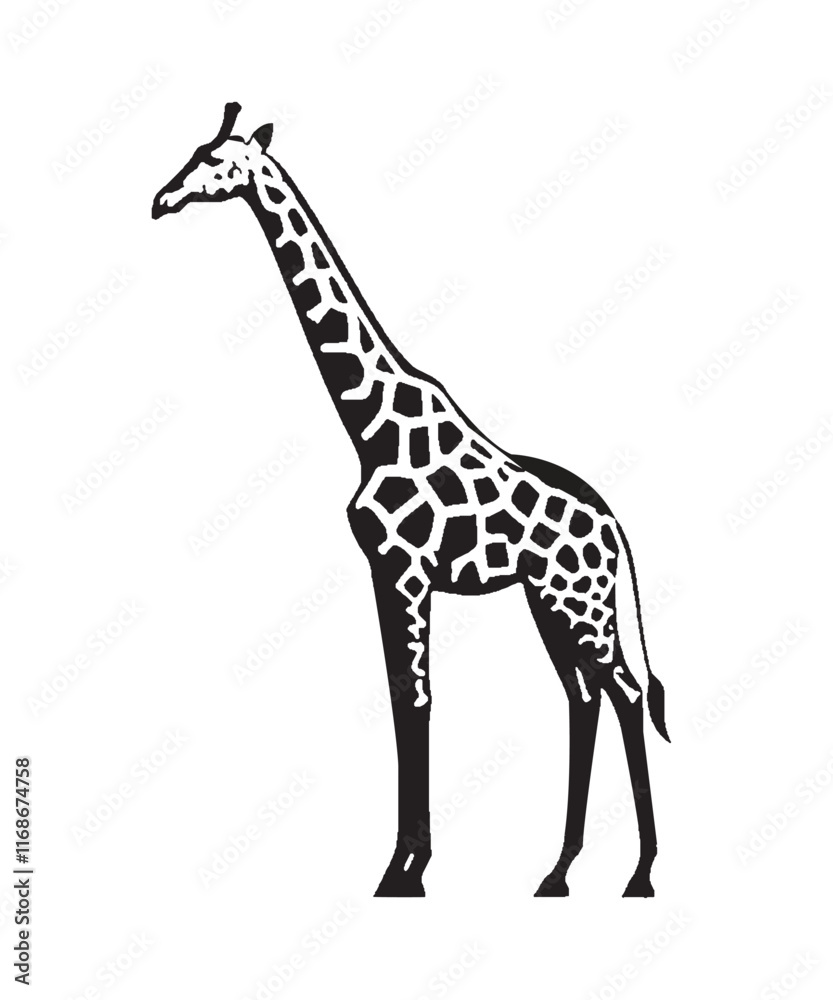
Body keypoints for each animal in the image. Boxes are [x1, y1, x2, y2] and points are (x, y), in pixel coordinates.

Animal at [152, 103, 670, 898]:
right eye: (196, 151)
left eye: (217, 161)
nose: (161, 199)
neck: (368, 424)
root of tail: (614, 528)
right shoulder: (389, 571)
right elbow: (404, 699)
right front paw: (408, 862)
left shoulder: (402, 569)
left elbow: (415, 701)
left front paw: (406, 871)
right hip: (548, 600)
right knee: (585, 697)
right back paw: (557, 872)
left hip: (579, 601)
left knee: (627, 693)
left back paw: (640, 873)